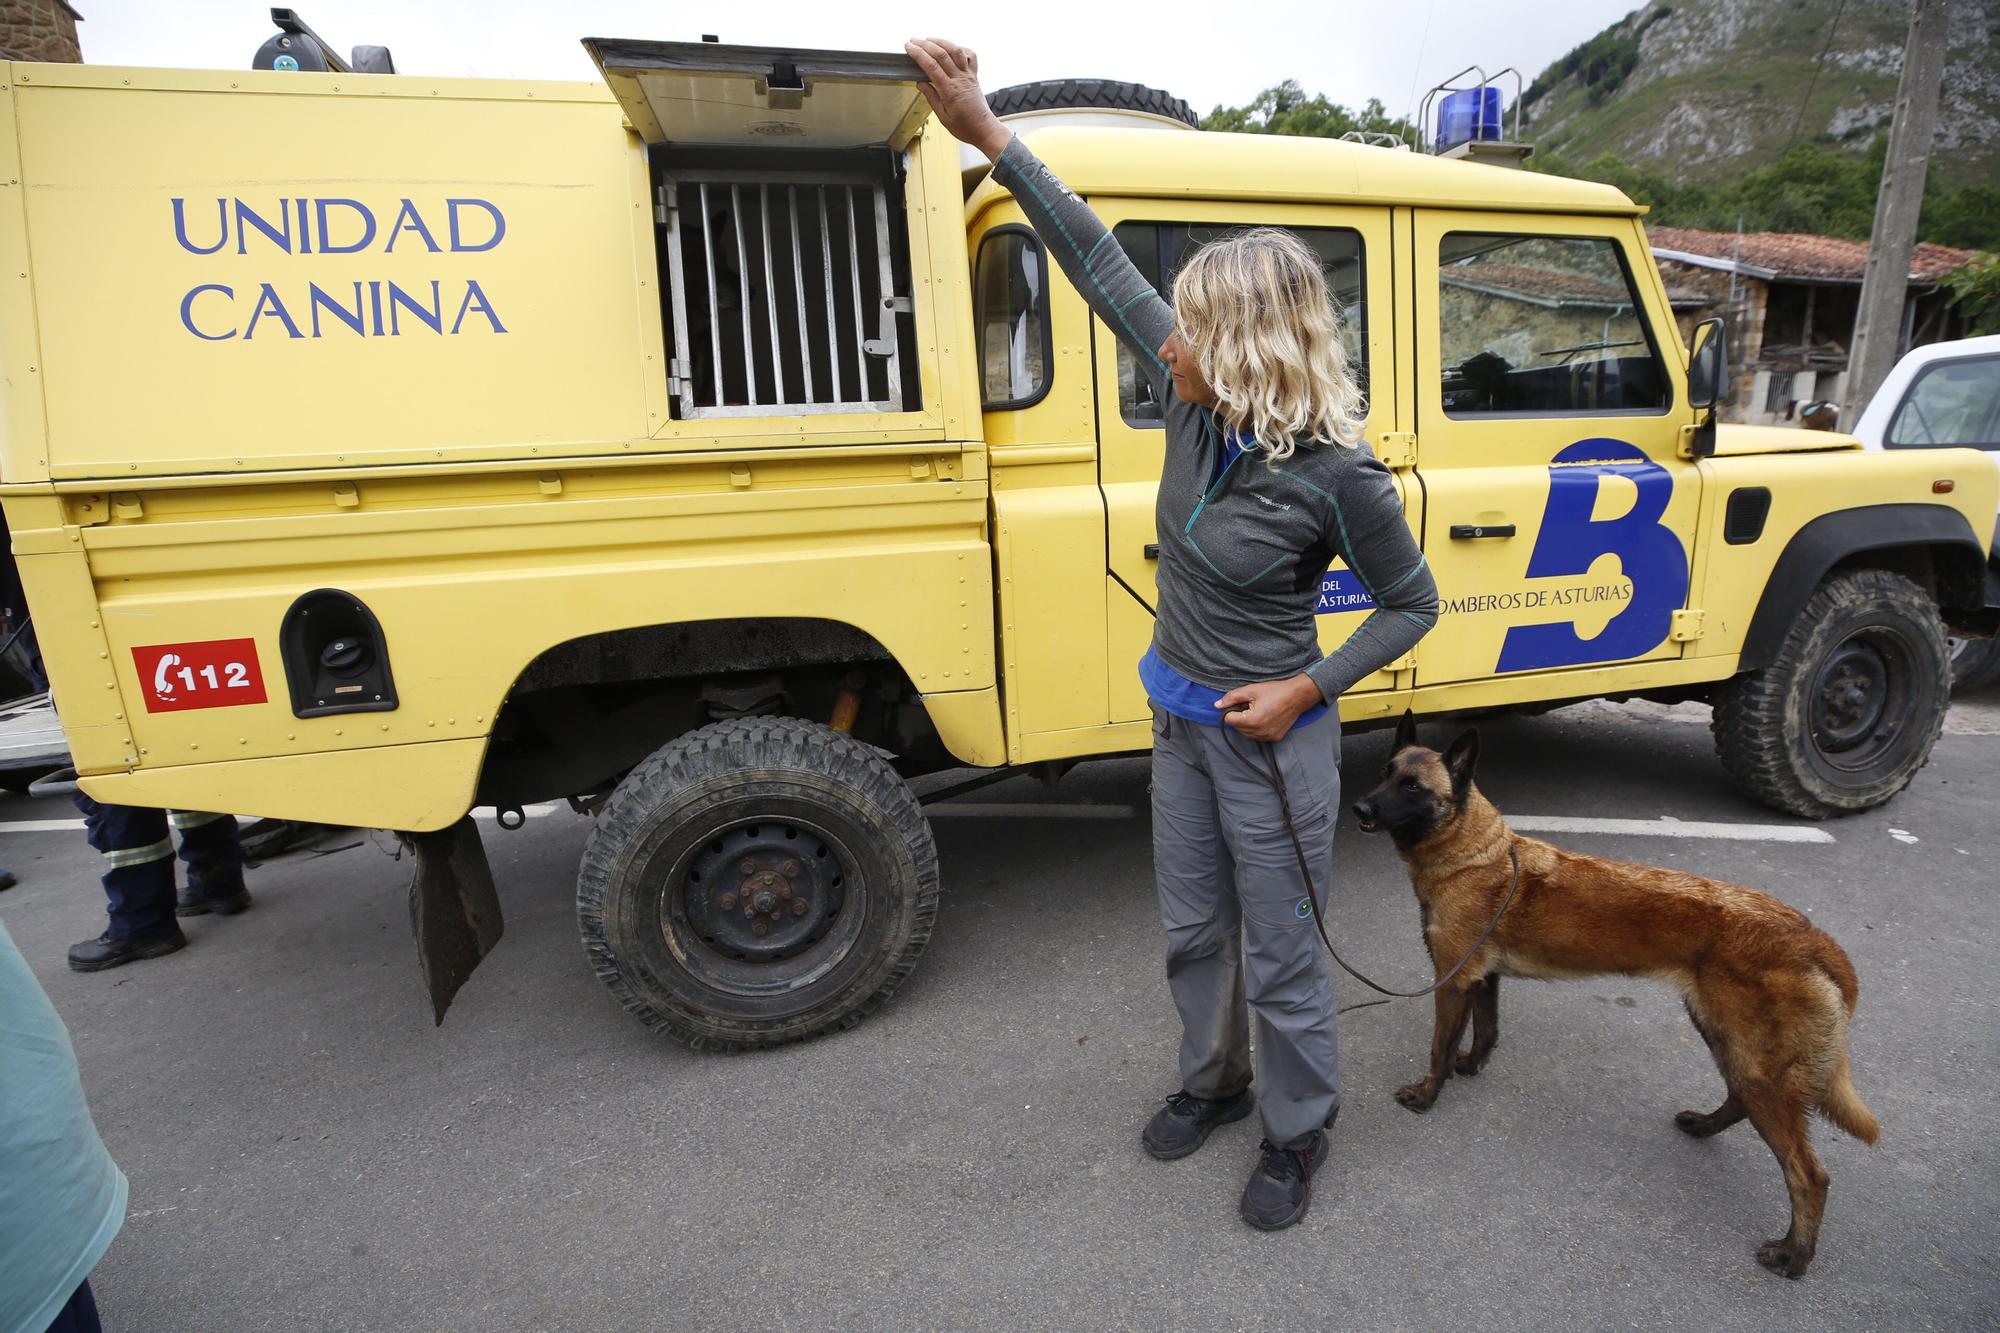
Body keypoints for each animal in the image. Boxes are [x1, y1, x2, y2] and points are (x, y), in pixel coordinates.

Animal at [1352, 712, 1880, 1272]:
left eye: (1412, 786)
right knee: (1739, 1100)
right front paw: (1470, 1067)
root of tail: (1811, 935)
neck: (1478, 853)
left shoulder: (1452, 980)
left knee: (1809, 1176)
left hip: (1757, 1066)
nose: (1359, 807)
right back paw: (1704, 1126)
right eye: (1385, 773)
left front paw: (1427, 1095)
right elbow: (1486, 1032)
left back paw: (1794, 1256)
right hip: (1728, 1040)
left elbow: (1439, 1047)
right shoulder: (1482, 977)